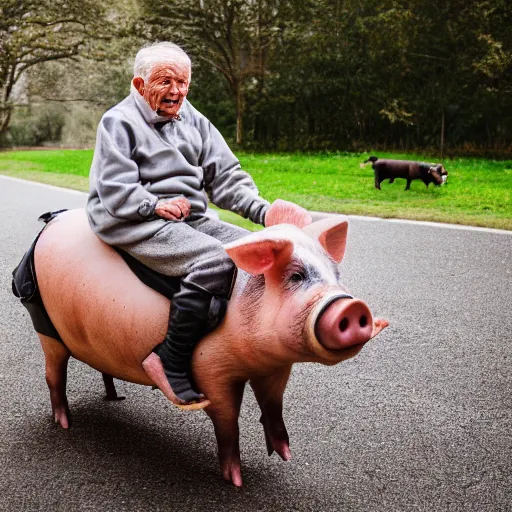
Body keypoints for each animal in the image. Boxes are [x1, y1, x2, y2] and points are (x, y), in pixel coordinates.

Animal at [33, 203, 388, 484]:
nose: (353, 307)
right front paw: (236, 481)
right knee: (53, 376)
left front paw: (284, 454)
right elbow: (227, 419)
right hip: (46, 327)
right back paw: (64, 423)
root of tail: (51, 221)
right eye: (295, 277)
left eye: (336, 274)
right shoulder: (209, 368)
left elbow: (273, 403)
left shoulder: (275, 367)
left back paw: (114, 396)